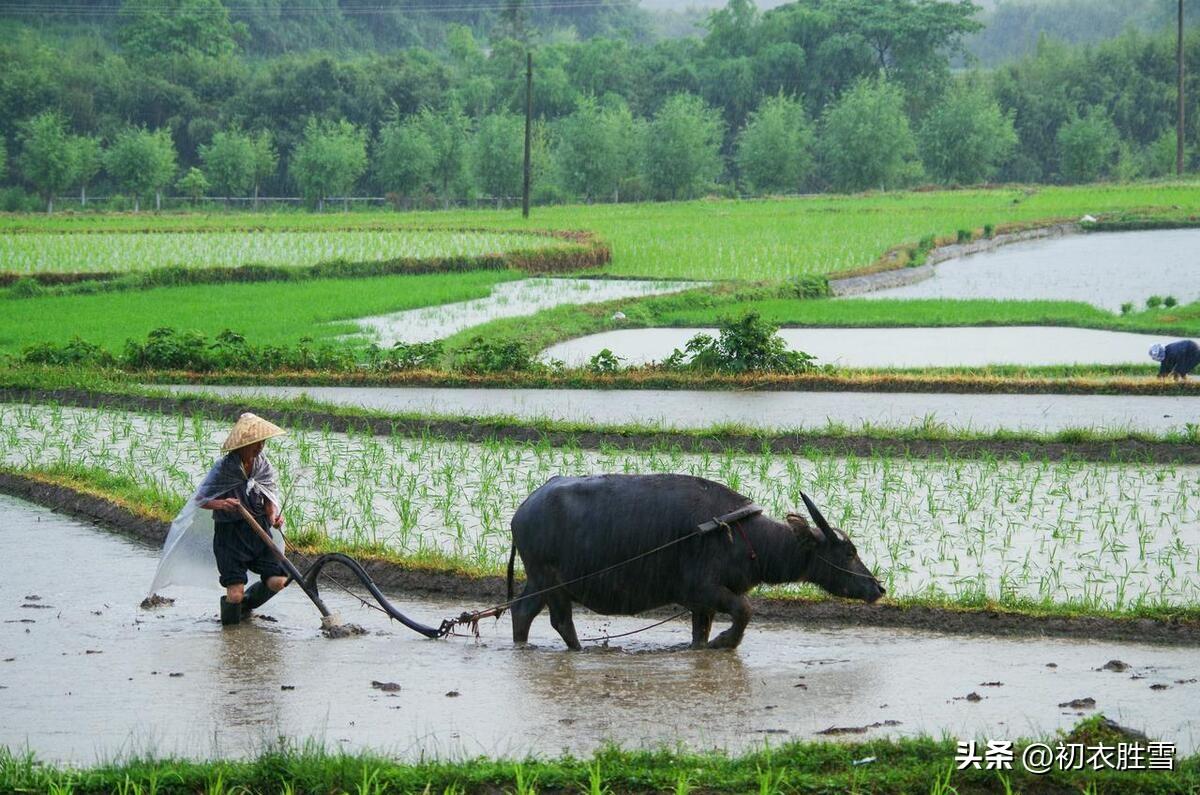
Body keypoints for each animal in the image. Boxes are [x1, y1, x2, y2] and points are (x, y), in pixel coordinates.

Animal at [501, 475, 888, 653]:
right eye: (848, 552)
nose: (878, 587)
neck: (746, 538)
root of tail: (522, 510)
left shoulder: (703, 604)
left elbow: (699, 634)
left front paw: (706, 646)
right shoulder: (704, 590)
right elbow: (745, 610)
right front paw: (725, 642)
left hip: (538, 580)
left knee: (522, 611)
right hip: (551, 581)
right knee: (559, 620)